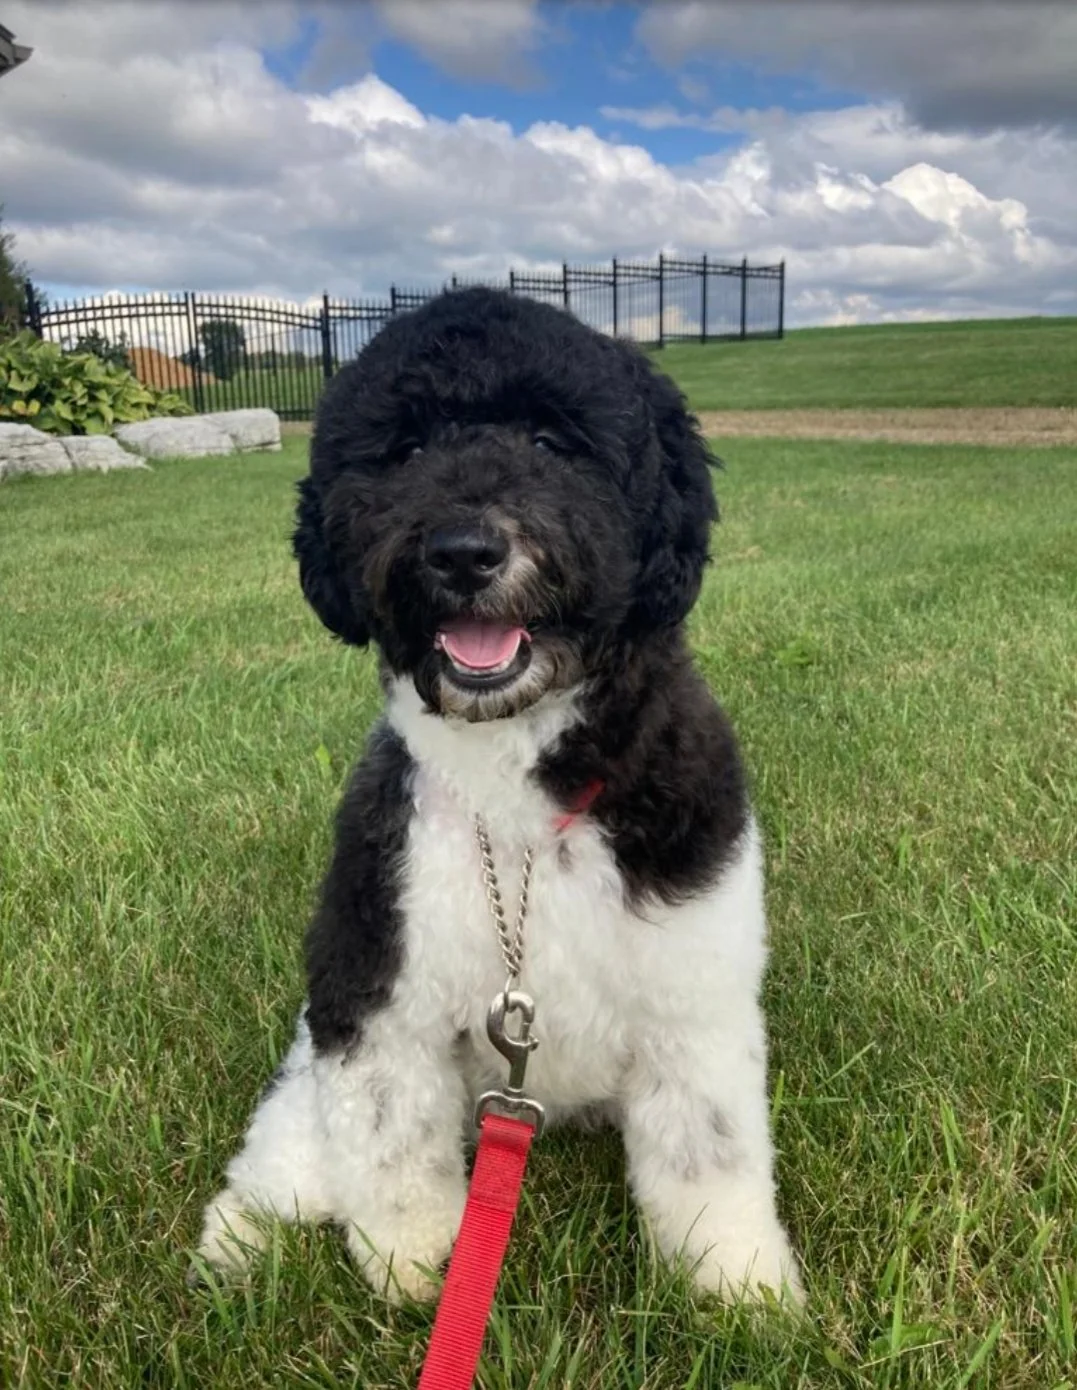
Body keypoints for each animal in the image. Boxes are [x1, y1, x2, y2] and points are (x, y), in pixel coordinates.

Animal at [195, 287, 802, 1306]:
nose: (462, 550)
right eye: (404, 449)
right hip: (308, 1067)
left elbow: (707, 1157)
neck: (514, 800)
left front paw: (738, 1288)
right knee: (283, 1160)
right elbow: (392, 1142)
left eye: (553, 441)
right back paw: (236, 1245)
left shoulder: (693, 996)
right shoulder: (375, 987)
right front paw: (411, 1266)